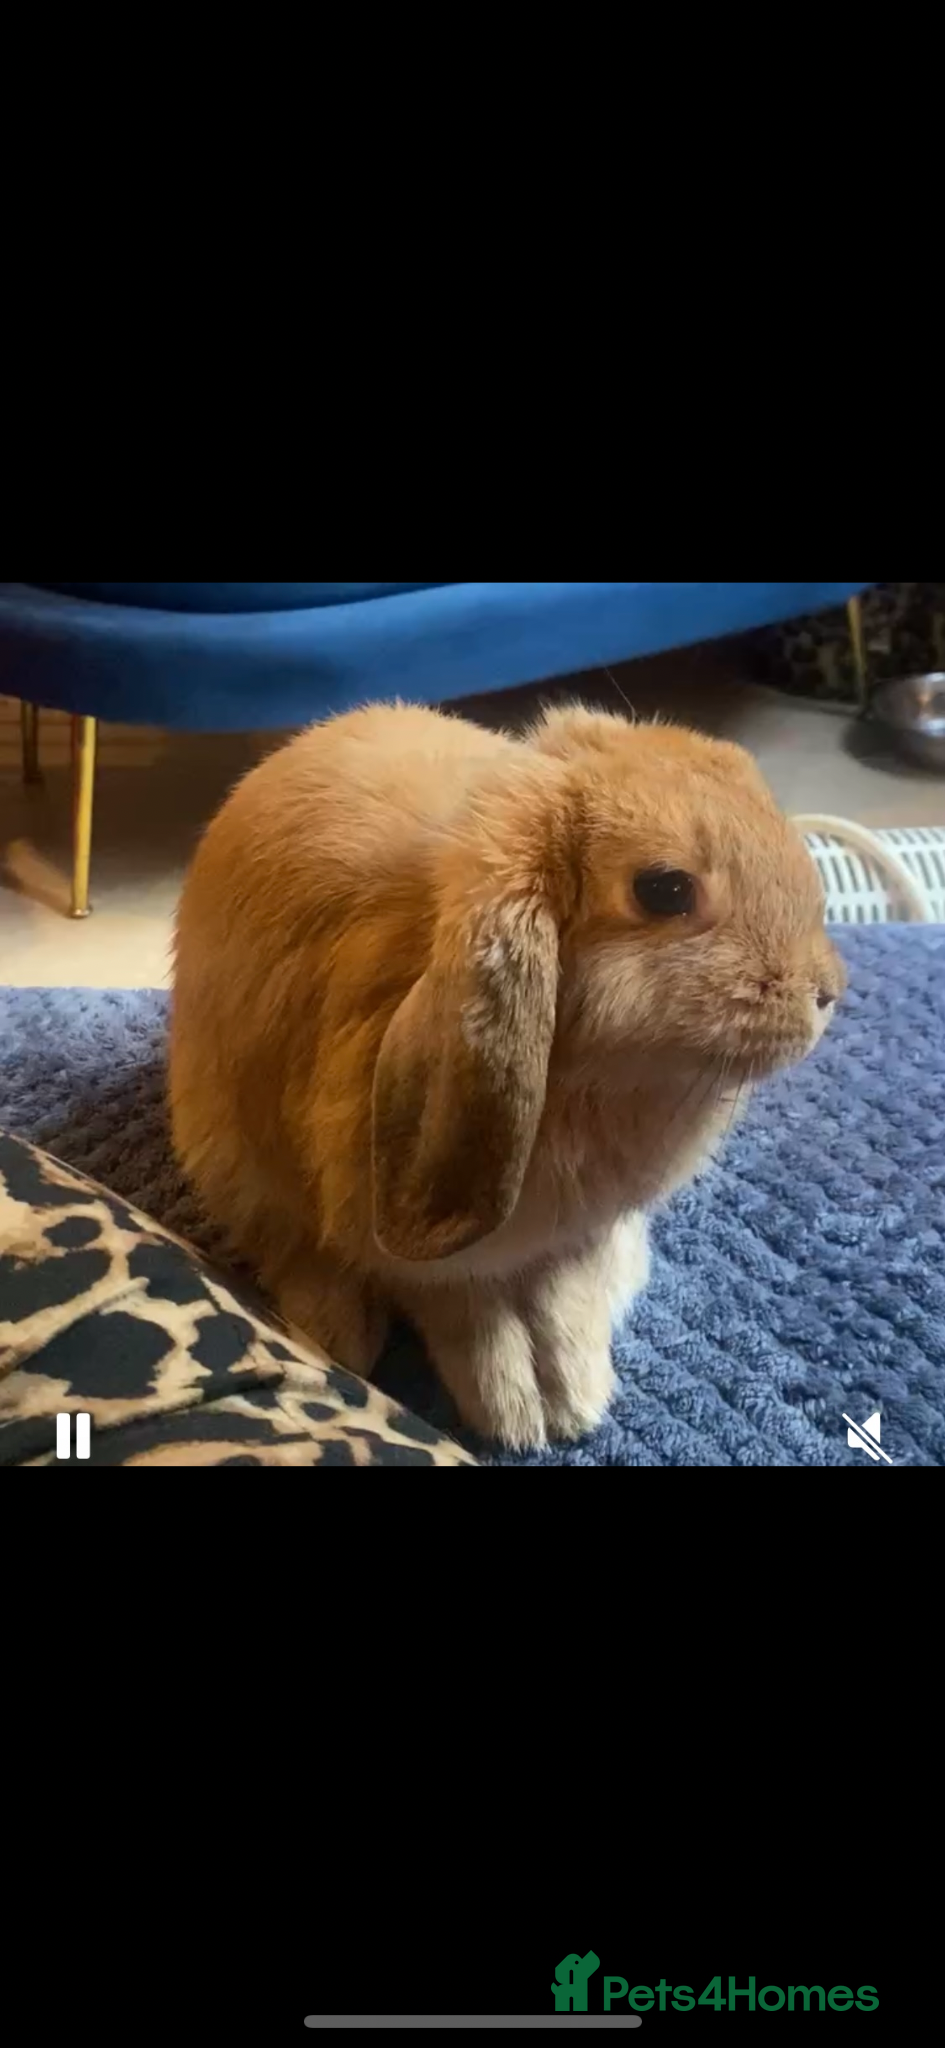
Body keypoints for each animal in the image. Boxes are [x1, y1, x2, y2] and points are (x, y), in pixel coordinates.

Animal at [170, 700, 844, 1448]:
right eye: (664, 890)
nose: (826, 991)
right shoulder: (434, 1261)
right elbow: (466, 1308)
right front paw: (518, 1410)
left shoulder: (572, 1240)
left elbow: (562, 1291)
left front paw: (573, 1395)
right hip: (225, 1152)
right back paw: (338, 1334)